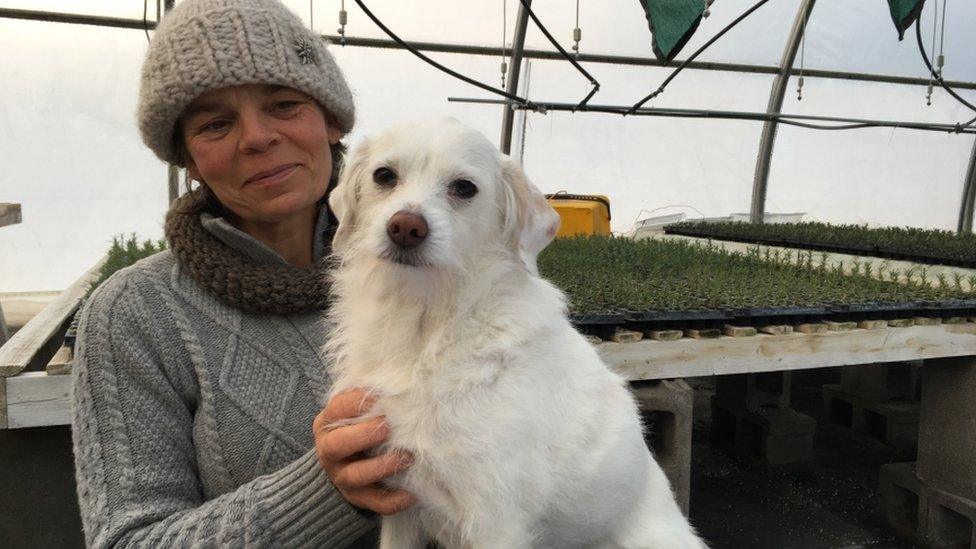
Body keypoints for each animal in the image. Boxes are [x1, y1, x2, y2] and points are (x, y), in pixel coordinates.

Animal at [328, 116, 708, 548]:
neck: (427, 325)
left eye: (464, 187)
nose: (405, 227)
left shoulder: (495, 521)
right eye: (384, 175)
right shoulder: (401, 504)